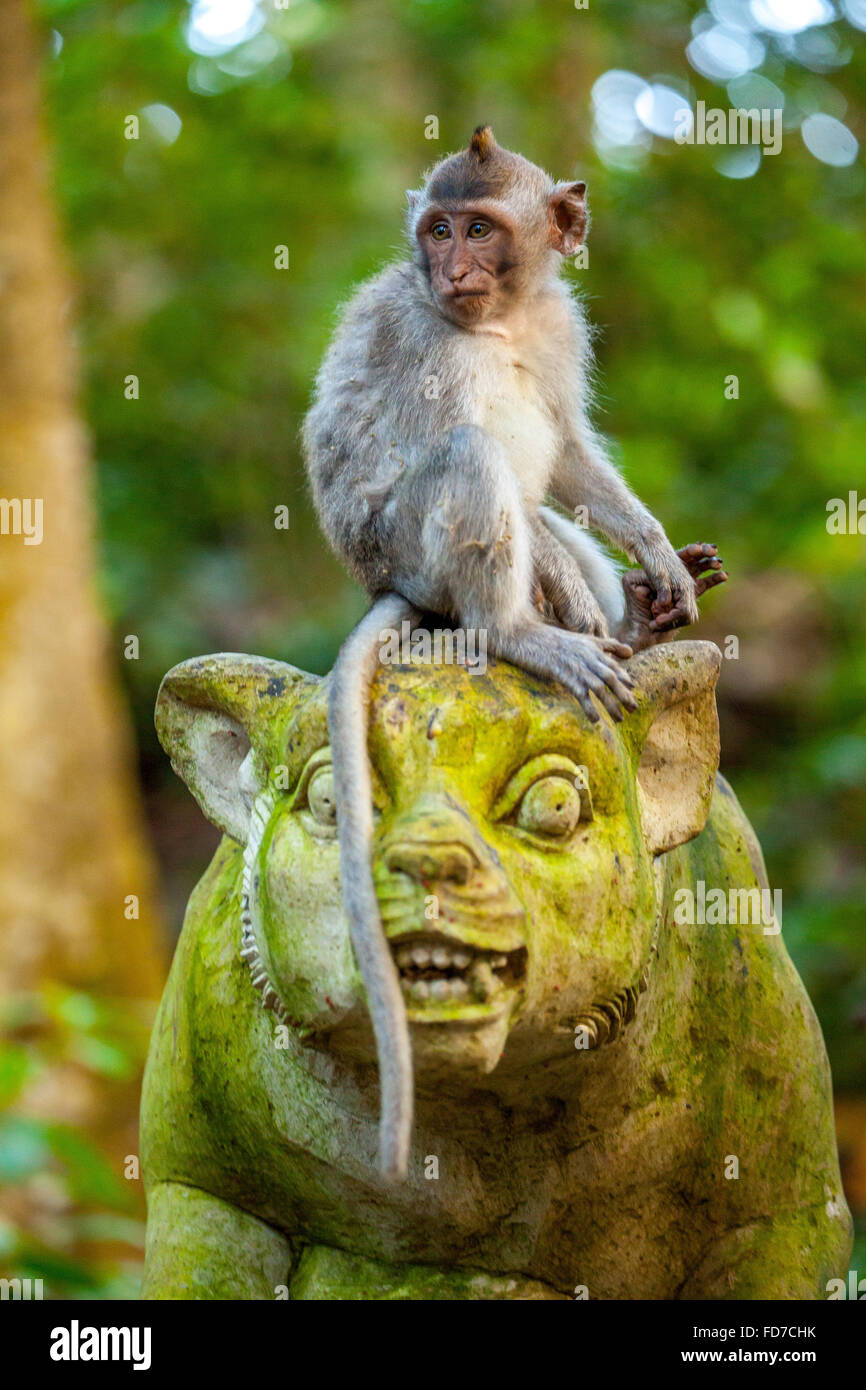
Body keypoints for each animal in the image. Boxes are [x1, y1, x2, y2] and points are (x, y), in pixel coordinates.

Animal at [303, 127, 727, 1179]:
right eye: (439, 229)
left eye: (481, 229)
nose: (452, 265)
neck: (502, 320)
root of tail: (390, 583)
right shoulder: (427, 343)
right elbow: (461, 449)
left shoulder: (561, 325)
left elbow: (569, 451)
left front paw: (655, 556)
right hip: (414, 550)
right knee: (471, 458)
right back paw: (521, 630)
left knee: (547, 504)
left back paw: (628, 623)